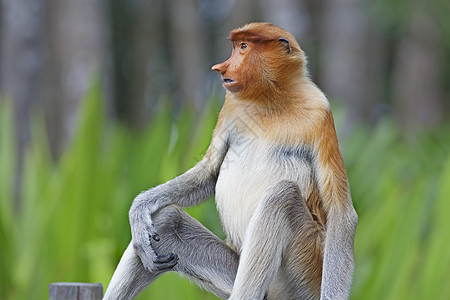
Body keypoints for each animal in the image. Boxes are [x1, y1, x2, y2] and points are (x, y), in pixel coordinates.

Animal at [103, 22, 356, 298]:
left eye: (243, 47)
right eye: (235, 46)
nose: (220, 67)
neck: (271, 99)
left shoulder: (321, 114)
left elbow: (341, 212)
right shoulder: (230, 107)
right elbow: (209, 173)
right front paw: (139, 212)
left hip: (306, 268)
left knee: (282, 196)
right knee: (169, 221)